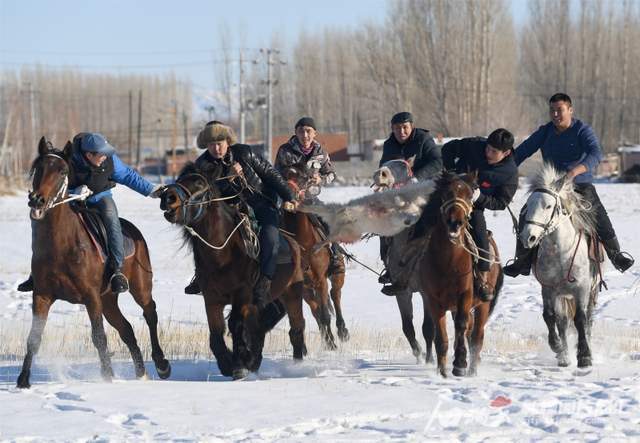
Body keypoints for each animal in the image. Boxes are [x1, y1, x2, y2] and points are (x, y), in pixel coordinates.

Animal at [17, 138, 171, 388]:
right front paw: (23, 380)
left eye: (62, 171)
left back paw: (162, 364)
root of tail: (132, 230)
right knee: (127, 330)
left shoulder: (90, 297)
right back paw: (141, 372)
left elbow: (98, 336)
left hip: (140, 288)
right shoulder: (42, 295)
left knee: (150, 313)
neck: (61, 244)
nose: (37, 200)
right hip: (108, 300)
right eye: (38, 168)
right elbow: (34, 338)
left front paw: (107, 375)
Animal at [161, 163, 308, 378]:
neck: (223, 254)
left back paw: (292, 366)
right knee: (258, 329)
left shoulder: (242, 295)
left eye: (199, 183)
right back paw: (254, 361)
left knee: (296, 329)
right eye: (179, 179)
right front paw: (227, 363)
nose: (168, 198)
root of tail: (294, 245)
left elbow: (236, 325)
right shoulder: (211, 299)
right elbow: (216, 332)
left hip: (292, 294)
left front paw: (239, 364)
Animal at [282, 165, 350, 348]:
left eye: (303, 178)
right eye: (285, 177)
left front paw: (332, 343)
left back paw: (343, 331)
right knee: (316, 310)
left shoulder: (320, 280)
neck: (304, 243)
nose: (289, 197)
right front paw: (329, 342)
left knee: (335, 295)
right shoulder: (302, 286)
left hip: (337, 275)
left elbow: (326, 314)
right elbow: (319, 314)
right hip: (307, 289)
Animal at [418, 173, 502, 378]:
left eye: (470, 194)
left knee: (476, 336)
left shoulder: (465, 295)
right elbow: (441, 337)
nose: (455, 222)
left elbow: (462, 326)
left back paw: (471, 369)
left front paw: (460, 364)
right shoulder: (433, 300)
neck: (449, 262)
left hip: (483, 304)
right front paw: (442, 371)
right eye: (446, 193)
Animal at [520, 165, 600, 370]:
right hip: (562, 295)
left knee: (588, 320)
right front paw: (557, 348)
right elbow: (549, 317)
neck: (560, 253)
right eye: (527, 206)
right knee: (562, 321)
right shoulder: (548, 289)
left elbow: (580, 320)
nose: (528, 238)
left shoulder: (582, 288)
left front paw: (584, 357)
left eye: (548, 206)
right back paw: (564, 357)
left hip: (591, 291)